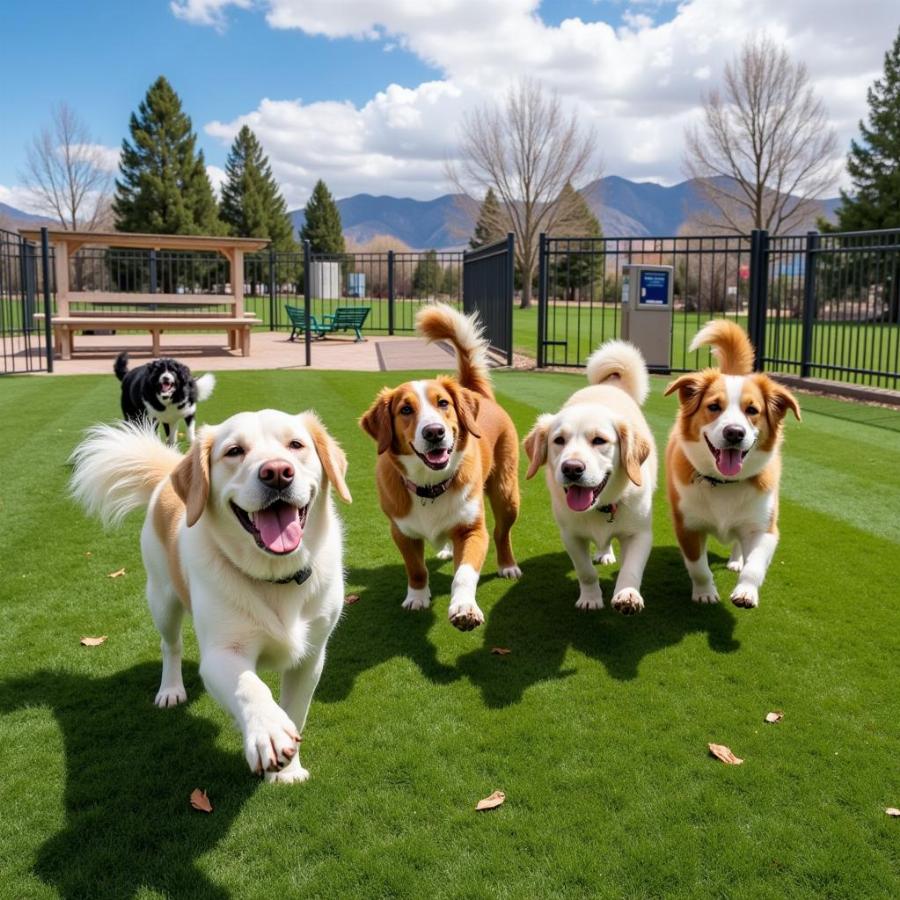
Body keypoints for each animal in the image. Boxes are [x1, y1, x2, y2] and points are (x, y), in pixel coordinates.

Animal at [69, 408, 352, 780]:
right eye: (234, 451)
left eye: (296, 445)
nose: (277, 472)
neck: (275, 577)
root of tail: (167, 475)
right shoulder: (221, 653)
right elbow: (250, 686)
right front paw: (268, 731)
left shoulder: (312, 657)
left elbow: (295, 711)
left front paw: (288, 771)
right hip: (162, 598)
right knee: (170, 646)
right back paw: (171, 689)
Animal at [360, 306, 520, 628]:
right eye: (405, 409)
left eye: (443, 403)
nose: (434, 432)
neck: (429, 485)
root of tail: (476, 393)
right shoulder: (402, 532)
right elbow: (416, 568)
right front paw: (417, 597)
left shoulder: (472, 531)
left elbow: (465, 574)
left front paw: (464, 608)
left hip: (507, 494)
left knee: (502, 532)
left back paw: (507, 564)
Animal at [524, 342, 656, 616]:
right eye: (559, 440)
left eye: (599, 440)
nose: (572, 468)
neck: (601, 507)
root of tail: (610, 384)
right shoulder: (571, 537)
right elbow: (585, 571)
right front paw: (591, 598)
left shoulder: (640, 534)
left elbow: (630, 570)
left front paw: (627, 595)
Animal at [660, 320, 800, 608]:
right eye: (714, 406)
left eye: (752, 410)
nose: (735, 432)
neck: (724, 483)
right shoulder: (687, 527)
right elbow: (699, 567)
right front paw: (705, 593)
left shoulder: (765, 528)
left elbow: (755, 566)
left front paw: (746, 591)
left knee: (738, 542)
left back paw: (737, 560)